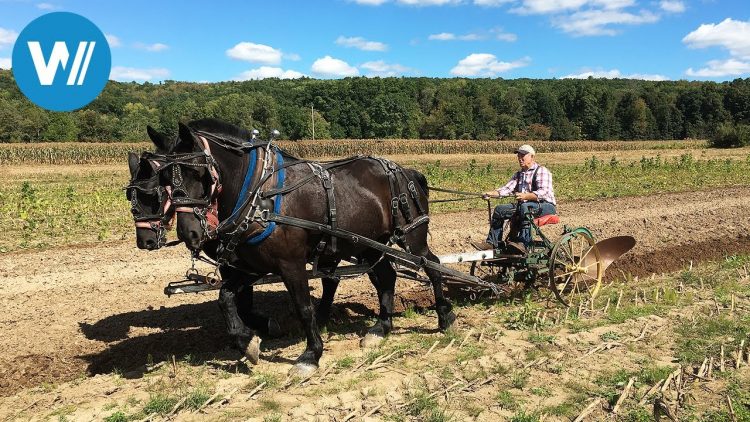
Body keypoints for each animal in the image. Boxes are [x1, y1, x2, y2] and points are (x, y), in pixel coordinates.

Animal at [164, 118, 456, 376]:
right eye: (164, 176)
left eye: (197, 171)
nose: (188, 232)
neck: (260, 194)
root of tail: (408, 172)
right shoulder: (254, 266)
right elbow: (225, 298)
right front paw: (248, 343)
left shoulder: (290, 264)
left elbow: (304, 308)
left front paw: (311, 355)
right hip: (370, 245)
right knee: (387, 276)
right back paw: (380, 328)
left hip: (411, 235)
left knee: (432, 266)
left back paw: (445, 317)